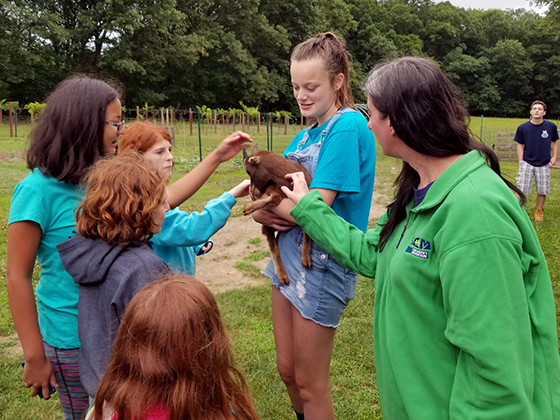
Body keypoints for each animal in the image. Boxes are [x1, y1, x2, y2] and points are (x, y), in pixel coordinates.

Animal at [243, 144, 312, 286]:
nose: (252, 192)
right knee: (274, 247)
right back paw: (283, 277)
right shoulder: (274, 188)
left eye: (248, 171)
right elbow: (274, 198)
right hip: (267, 227)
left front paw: (306, 260)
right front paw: (248, 208)